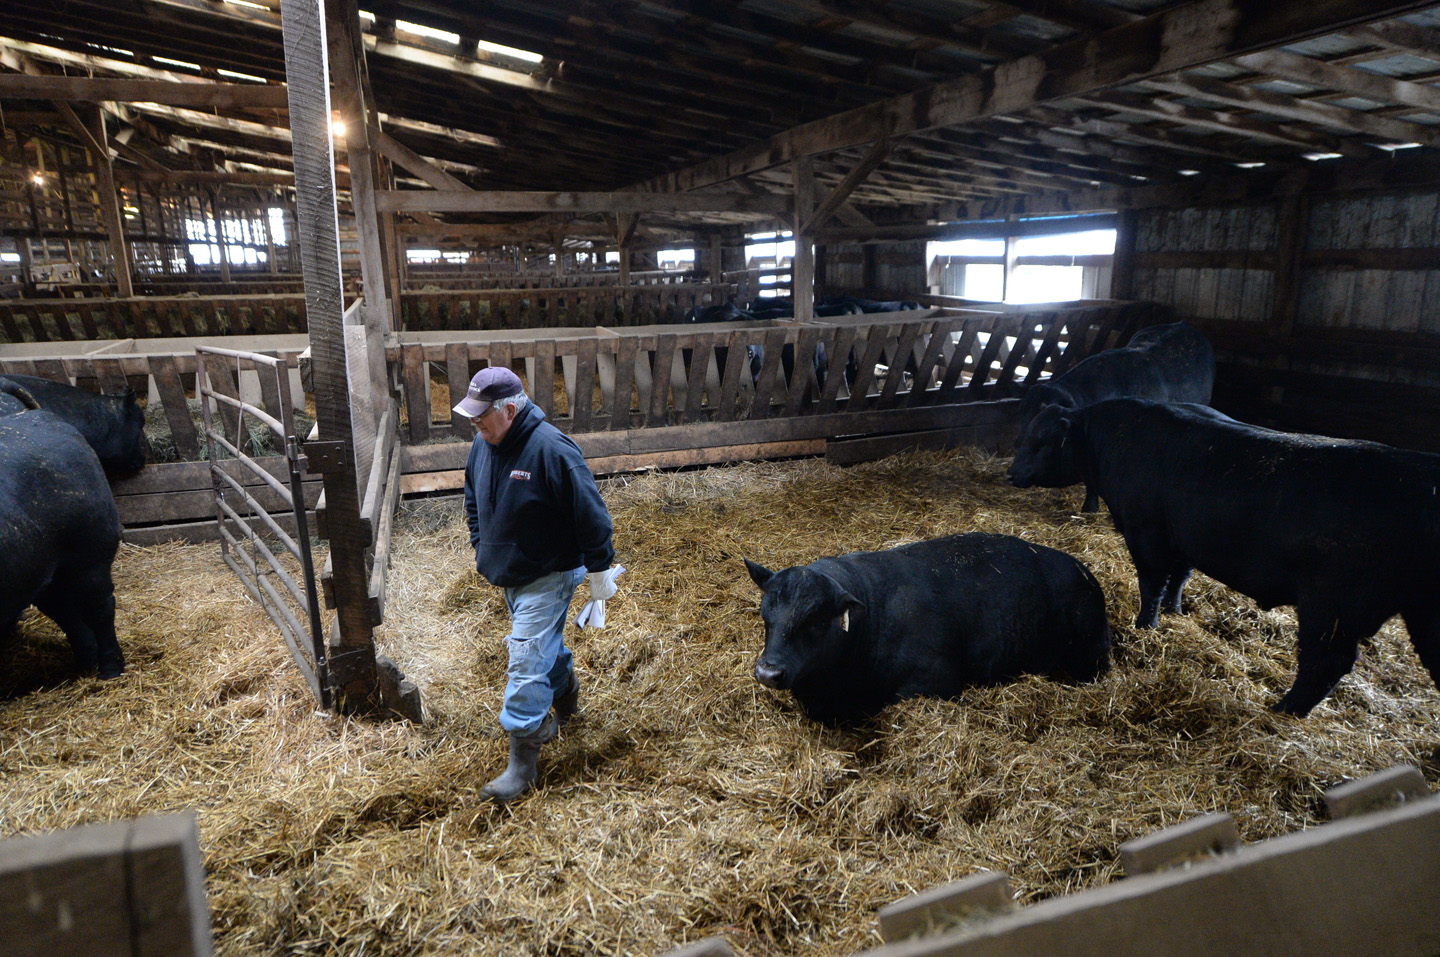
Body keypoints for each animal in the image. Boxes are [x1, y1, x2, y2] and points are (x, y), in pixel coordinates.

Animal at [743, 529, 1111, 725]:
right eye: (765, 616)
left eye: (817, 623)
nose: (768, 672)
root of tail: (1086, 576)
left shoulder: (934, 681)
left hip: (1089, 657)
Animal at [1008, 394, 1440, 716]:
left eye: (1040, 442)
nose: (1011, 473)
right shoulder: (1184, 538)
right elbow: (1179, 579)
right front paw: (1175, 613)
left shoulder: (1146, 532)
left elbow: (1152, 583)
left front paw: (1146, 625)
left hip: (1332, 607)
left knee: (1325, 663)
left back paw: (1284, 710)